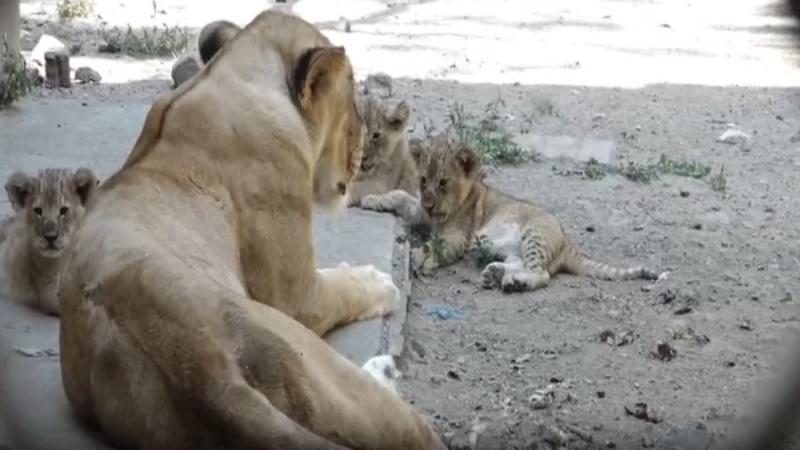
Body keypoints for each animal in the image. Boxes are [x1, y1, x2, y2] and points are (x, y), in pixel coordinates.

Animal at [58, 10, 445, 450]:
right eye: (352, 105)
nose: (362, 151)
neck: (230, 72)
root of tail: (207, 375)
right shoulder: (297, 298)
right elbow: (343, 289)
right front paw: (374, 279)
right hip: (317, 359)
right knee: (415, 433)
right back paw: (385, 370)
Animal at [400, 134, 660, 292]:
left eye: (443, 183)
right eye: (423, 180)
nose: (429, 204)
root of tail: (566, 241)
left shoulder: (459, 236)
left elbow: (436, 247)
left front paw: (418, 257)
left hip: (534, 235)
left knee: (541, 272)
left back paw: (515, 282)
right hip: (501, 247)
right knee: (520, 262)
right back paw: (495, 273)